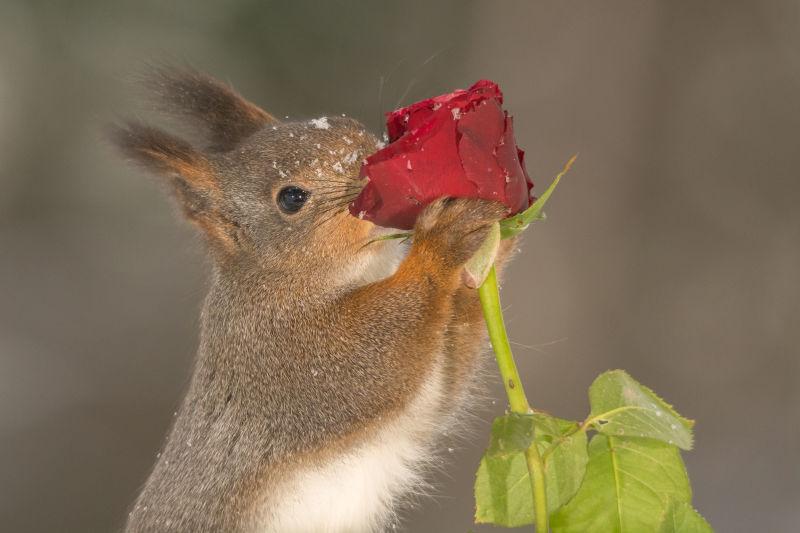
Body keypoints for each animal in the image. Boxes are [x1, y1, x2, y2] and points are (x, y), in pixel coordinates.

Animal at [109, 67, 516, 532]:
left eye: (345, 123)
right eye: (291, 198)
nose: (369, 160)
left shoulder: (412, 411)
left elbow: (442, 385)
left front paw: (492, 243)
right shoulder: (281, 358)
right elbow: (375, 367)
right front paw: (442, 240)